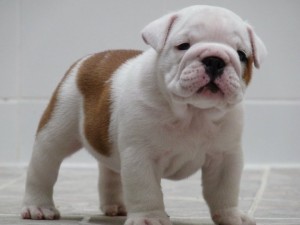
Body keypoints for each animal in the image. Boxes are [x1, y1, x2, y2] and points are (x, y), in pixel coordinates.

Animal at [22, 4, 268, 225]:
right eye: (183, 45)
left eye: (242, 55)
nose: (215, 59)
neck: (194, 113)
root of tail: (89, 59)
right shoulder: (140, 156)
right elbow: (146, 189)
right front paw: (150, 218)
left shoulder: (224, 157)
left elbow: (224, 190)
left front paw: (231, 216)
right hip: (57, 128)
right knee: (43, 166)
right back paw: (38, 207)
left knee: (110, 171)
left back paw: (116, 206)